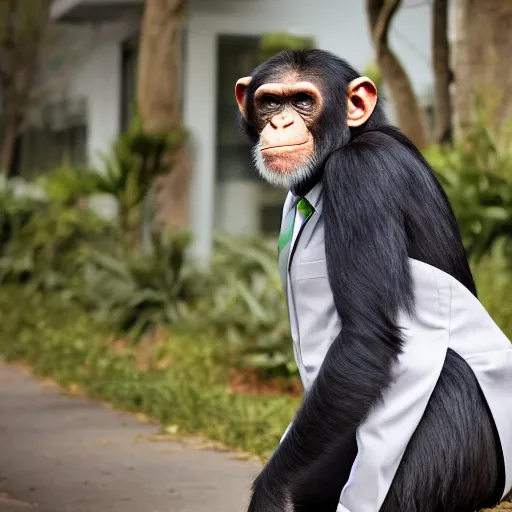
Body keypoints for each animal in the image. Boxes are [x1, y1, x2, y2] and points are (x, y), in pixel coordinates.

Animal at [234, 49, 510, 512]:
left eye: (303, 101)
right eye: (270, 102)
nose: (281, 123)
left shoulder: (362, 175)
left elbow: (366, 339)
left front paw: (272, 491)